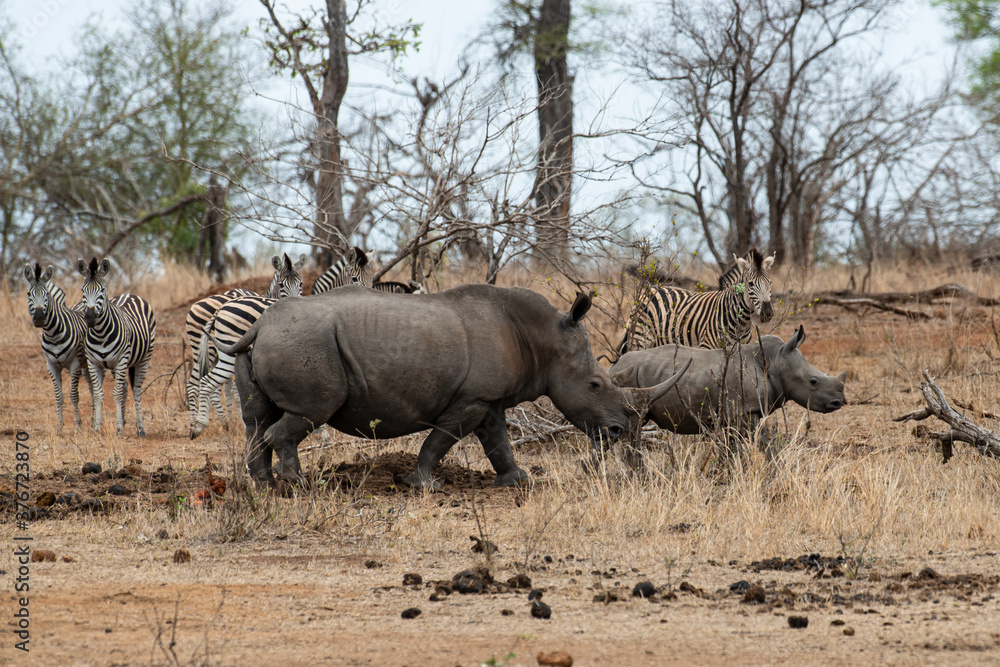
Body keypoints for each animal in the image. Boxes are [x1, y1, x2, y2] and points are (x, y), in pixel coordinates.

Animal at [216, 284, 690, 489]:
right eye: (594, 384)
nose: (618, 431)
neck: (545, 340)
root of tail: (259, 325)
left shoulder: (489, 398)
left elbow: (498, 441)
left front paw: (517, 481)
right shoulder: (471, 398)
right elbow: (442, 439)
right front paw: (424, 486)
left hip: (274, 342)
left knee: (257, 420)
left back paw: (264, 485)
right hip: (303, 343)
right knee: (306, 415)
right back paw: (298, 486)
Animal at [609, 326, 845, 436]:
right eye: (813, 381)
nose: (839, 402)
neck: (775, 362)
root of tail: (614, 367)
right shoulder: (743, 411)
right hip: (629, 382)